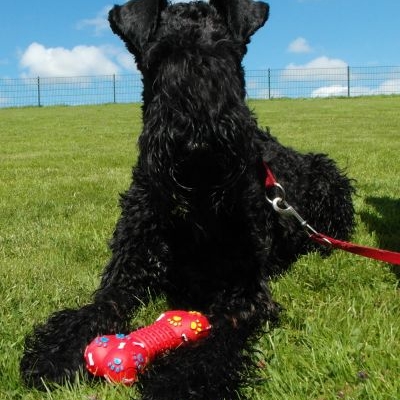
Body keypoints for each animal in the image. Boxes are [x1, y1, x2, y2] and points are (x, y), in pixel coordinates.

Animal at [21, 1, 354, 398]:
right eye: (160, 56)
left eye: (226, 52)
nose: (199, 134)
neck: (195, 208)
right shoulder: (123, 277)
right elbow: (97, 309)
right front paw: (54, 352)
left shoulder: (241, 296)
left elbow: (210, 343)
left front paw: (180, 382)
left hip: (329, 180)